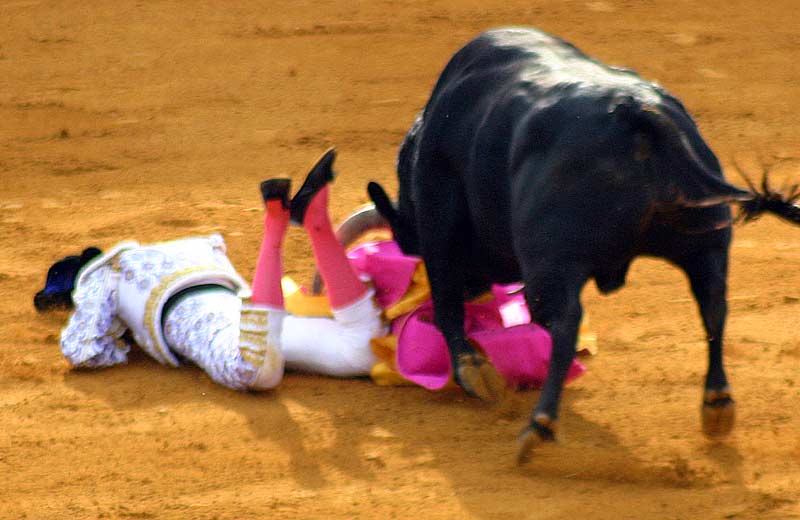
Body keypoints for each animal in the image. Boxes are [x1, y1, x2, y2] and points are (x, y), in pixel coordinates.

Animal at [368, 26, 764, 462]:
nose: (478, 290)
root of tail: (637, 113)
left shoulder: (438, 220)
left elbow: (445, 302)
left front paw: (474, 370)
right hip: (705, 242)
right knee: (712, 303)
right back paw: (717, 404)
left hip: (550, 265)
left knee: (564, 322)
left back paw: (538, 427)